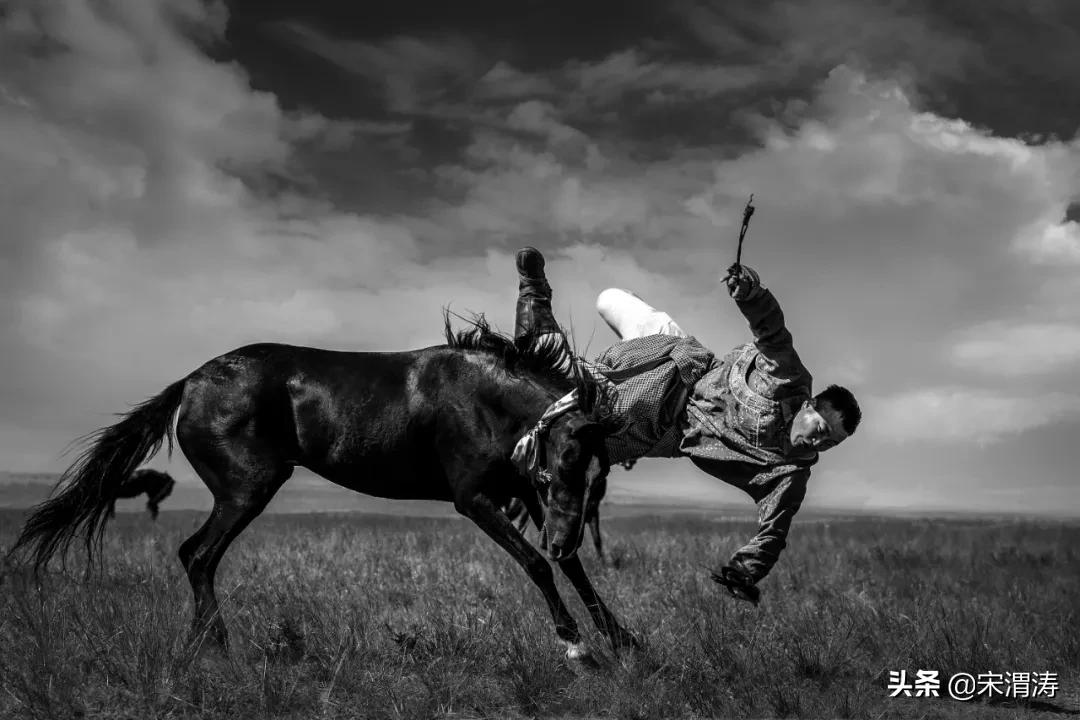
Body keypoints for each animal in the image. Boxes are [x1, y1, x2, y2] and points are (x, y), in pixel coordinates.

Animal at [9, 315, 639, 660]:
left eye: (599, 478)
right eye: (559, 467)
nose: (563, 535)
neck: (482, 398)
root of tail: (189, 382)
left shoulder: (525, 496)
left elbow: (571, 567)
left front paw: (624, 640)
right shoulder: (476, 500)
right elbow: (535, 564)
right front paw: (574, 643)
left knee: (193, 555)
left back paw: (203, 645)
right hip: (248, 489)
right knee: (199, 555)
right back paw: (220, 650)